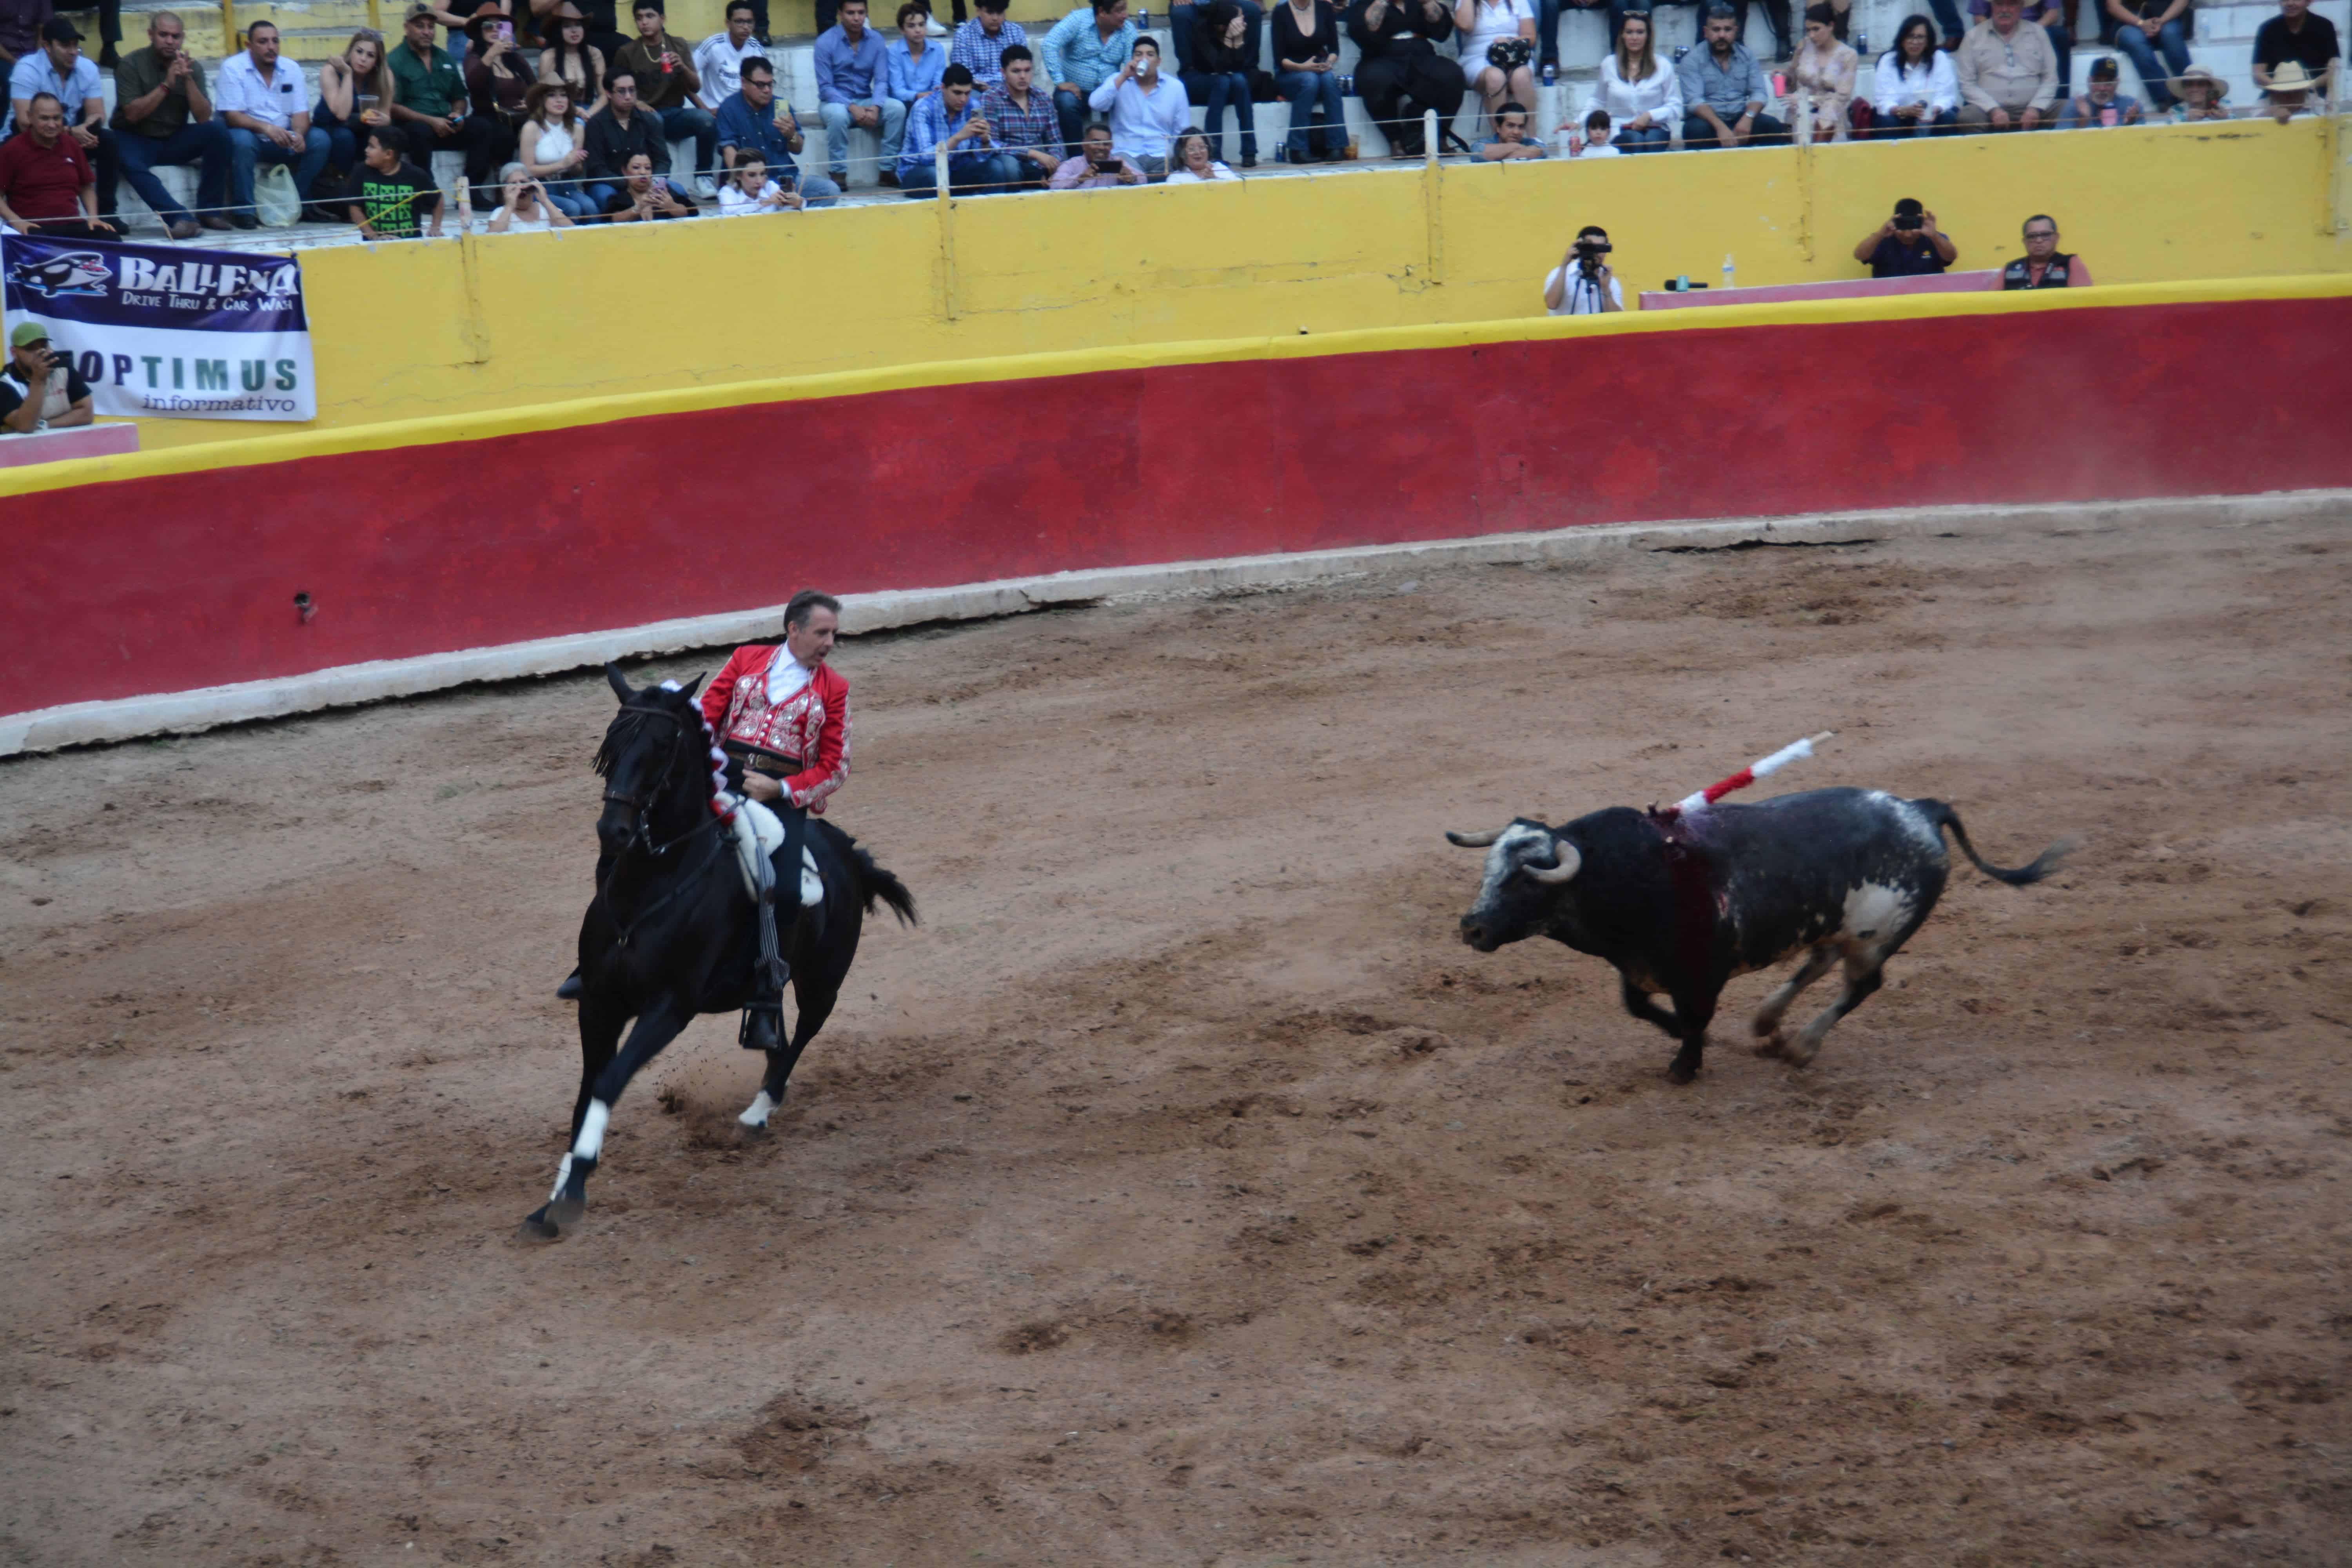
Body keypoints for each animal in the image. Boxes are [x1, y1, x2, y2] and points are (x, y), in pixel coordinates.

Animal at [524, 663, 917, 1241]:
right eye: (611, 743)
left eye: (662, 746)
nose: (613, 830)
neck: (654, 882)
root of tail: (849, 852)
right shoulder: (598, 1001)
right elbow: (588, 1090)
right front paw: (551, 1200)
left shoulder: (670, 1007)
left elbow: (611, 1081)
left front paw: (573, 1191)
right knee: (778, 1040)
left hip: (823, 980)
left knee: (801, 1038)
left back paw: (757, 1114)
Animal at [1439, 789, 2070, 1086]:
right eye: (1490, 871)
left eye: (1526, 881)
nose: (1472, 928)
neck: (1626, 873)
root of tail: (1920, 809)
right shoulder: (1640, 968)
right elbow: (1640, 1007)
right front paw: (1682, 1043)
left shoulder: (1701, 975)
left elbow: (1693, 1020)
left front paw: (1686, 1064)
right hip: (1836, 924)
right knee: (1817, 963)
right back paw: (1769, 1022)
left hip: (1876, 936)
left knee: (1861, 985)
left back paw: (1800, 1045)